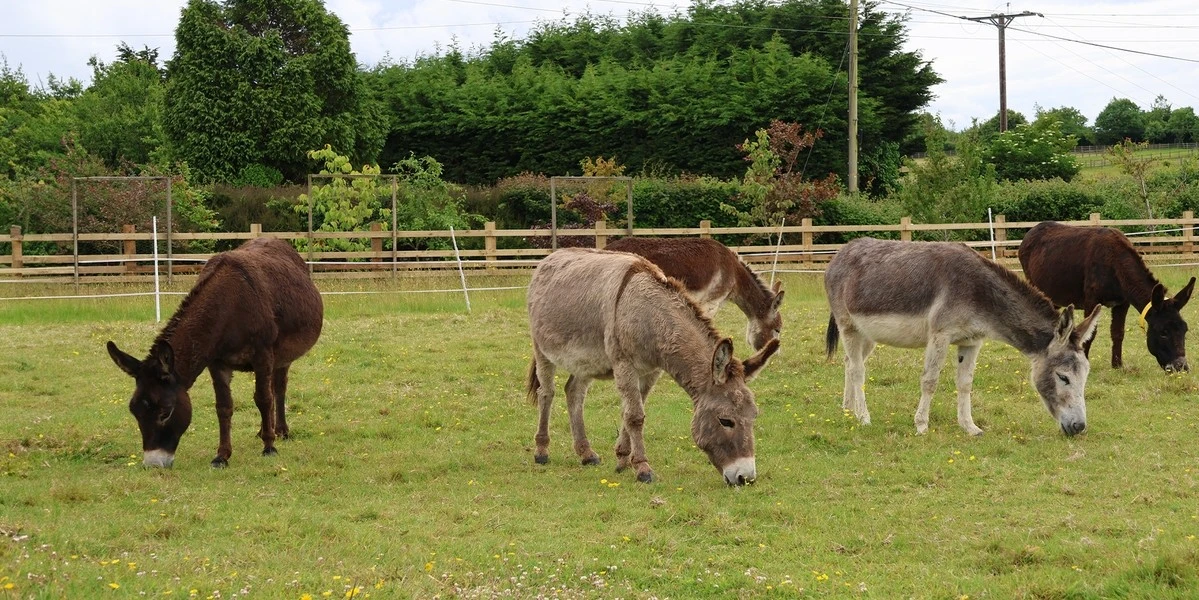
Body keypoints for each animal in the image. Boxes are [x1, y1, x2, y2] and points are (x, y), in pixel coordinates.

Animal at [106, 237, 324, 468]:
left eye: (165, 413)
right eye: (134, 411)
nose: (152, 465)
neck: (229, 305)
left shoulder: (262, 355)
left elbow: (264, 399)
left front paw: (269, 447)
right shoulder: (217, 363)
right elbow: (224, 407)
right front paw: (222, 456)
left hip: (282, 356)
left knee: (278, 389)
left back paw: (280, 431)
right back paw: (265, 430)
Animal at [526, 248, 780, 485]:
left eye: (754, 416)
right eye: (726, 421)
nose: (745, 478)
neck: (648, 315)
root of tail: (551, 257)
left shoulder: (651, 371)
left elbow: (630, 411)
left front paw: (623, 459)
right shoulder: (624, 365)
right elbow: (635, 416)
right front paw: (642, 468)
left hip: (585, 361)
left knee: (574, 392)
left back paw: (586, 453)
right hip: (542, 349)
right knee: (546, 393)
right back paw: (541, 451)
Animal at [824, 238, 1101, 437]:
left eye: (1085, 376)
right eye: (1063, 377)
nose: (1079, 428)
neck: (980, 295)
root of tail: (841, 253)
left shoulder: (971, 342)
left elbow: (965, 383)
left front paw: (969, 427)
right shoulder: (940, 335)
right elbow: (930, 380)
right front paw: (921, 425)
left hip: (867, 335)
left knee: (849, 363)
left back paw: (848, 409)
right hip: (848, 326)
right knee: (858, 370)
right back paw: (863, 417)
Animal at [1018, 221, 1194, 372]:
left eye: (1185, 330)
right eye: (1163, 332)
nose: (1181, 368)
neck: (1115, 263)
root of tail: (1032, 230)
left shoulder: (1122, 303)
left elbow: (1118, 333)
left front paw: (1117, 365)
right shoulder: (1091, 300)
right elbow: (1090, 334)